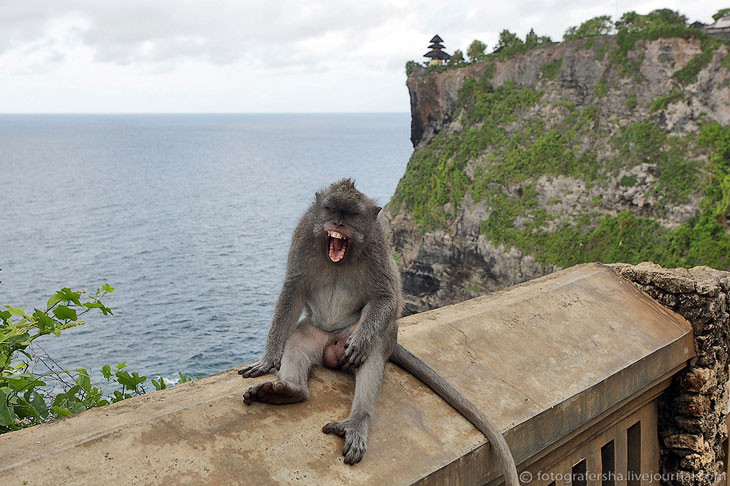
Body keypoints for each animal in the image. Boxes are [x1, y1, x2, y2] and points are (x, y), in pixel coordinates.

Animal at [240, 179, 516, 486]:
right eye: (332, 209)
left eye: (350, 214)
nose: (337, 222)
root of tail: (332, 340)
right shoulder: (303, 234)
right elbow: (293, 290)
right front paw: (268, 360)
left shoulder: (377, 244)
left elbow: (385, 297)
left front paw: (361, 341)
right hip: (318, 333)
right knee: (299, 341)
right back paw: (290, 391)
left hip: (373, 334)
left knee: (370, 354)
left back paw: (357, 419)